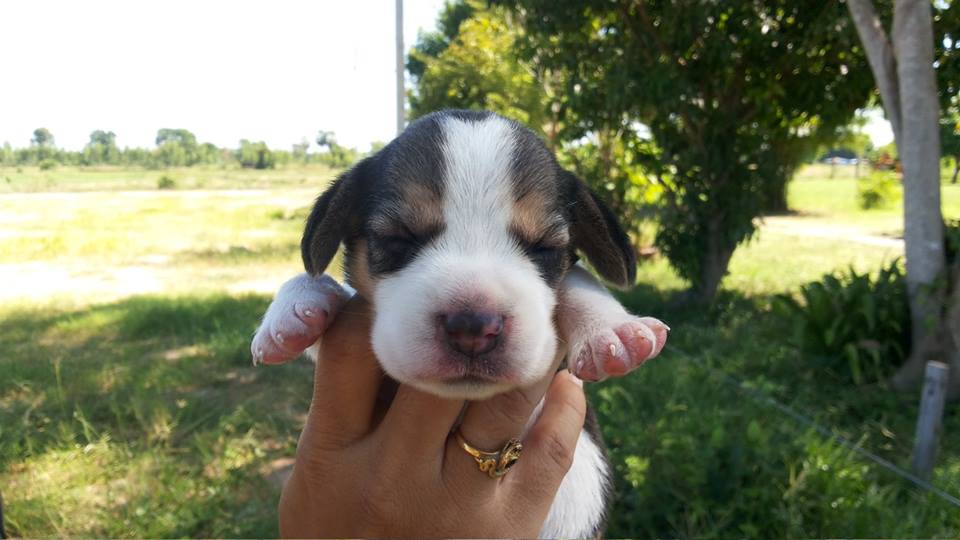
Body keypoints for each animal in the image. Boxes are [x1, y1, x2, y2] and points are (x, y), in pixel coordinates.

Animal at [252, 110, 668, 538]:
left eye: (544, 248)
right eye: (399, 238)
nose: (473, 328)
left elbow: (579, 279)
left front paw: (611, 330)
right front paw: (296, 308)